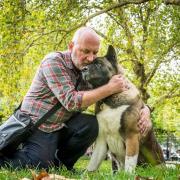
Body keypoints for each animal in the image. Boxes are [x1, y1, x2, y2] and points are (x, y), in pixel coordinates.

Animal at [81, 45, 165, 173]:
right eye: (87, 63)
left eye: (99, 64)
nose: (83, 69)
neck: (109, 98)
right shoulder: (101, 140)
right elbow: (93, 162)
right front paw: (87, 174)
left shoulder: (131, 136)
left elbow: (129, 161)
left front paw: (128, 175)